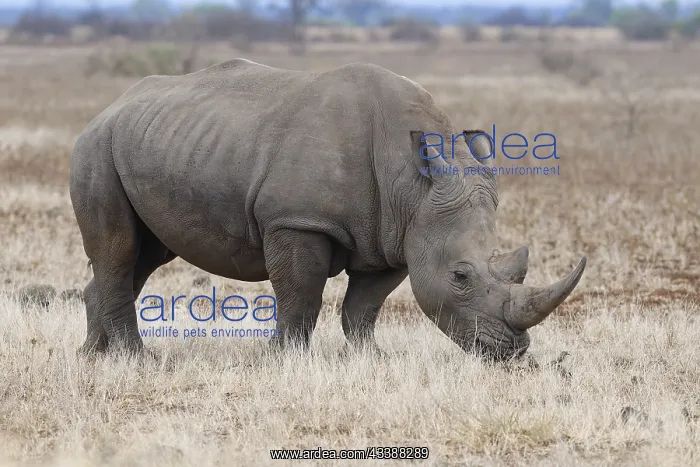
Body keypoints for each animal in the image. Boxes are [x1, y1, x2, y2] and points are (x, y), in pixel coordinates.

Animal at [70, 59, 586, 360]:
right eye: (460, 276)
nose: (512, 352)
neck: (412, 186)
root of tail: (109, 108)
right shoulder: (298, 221)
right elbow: (301, 296)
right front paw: (286, 362)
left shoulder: (396, 233)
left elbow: (365, 305)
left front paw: (370, 359)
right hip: (96, 147)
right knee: (120, 249)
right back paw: (137, 360)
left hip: (152, 141)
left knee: (144, 256)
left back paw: (92, 357)